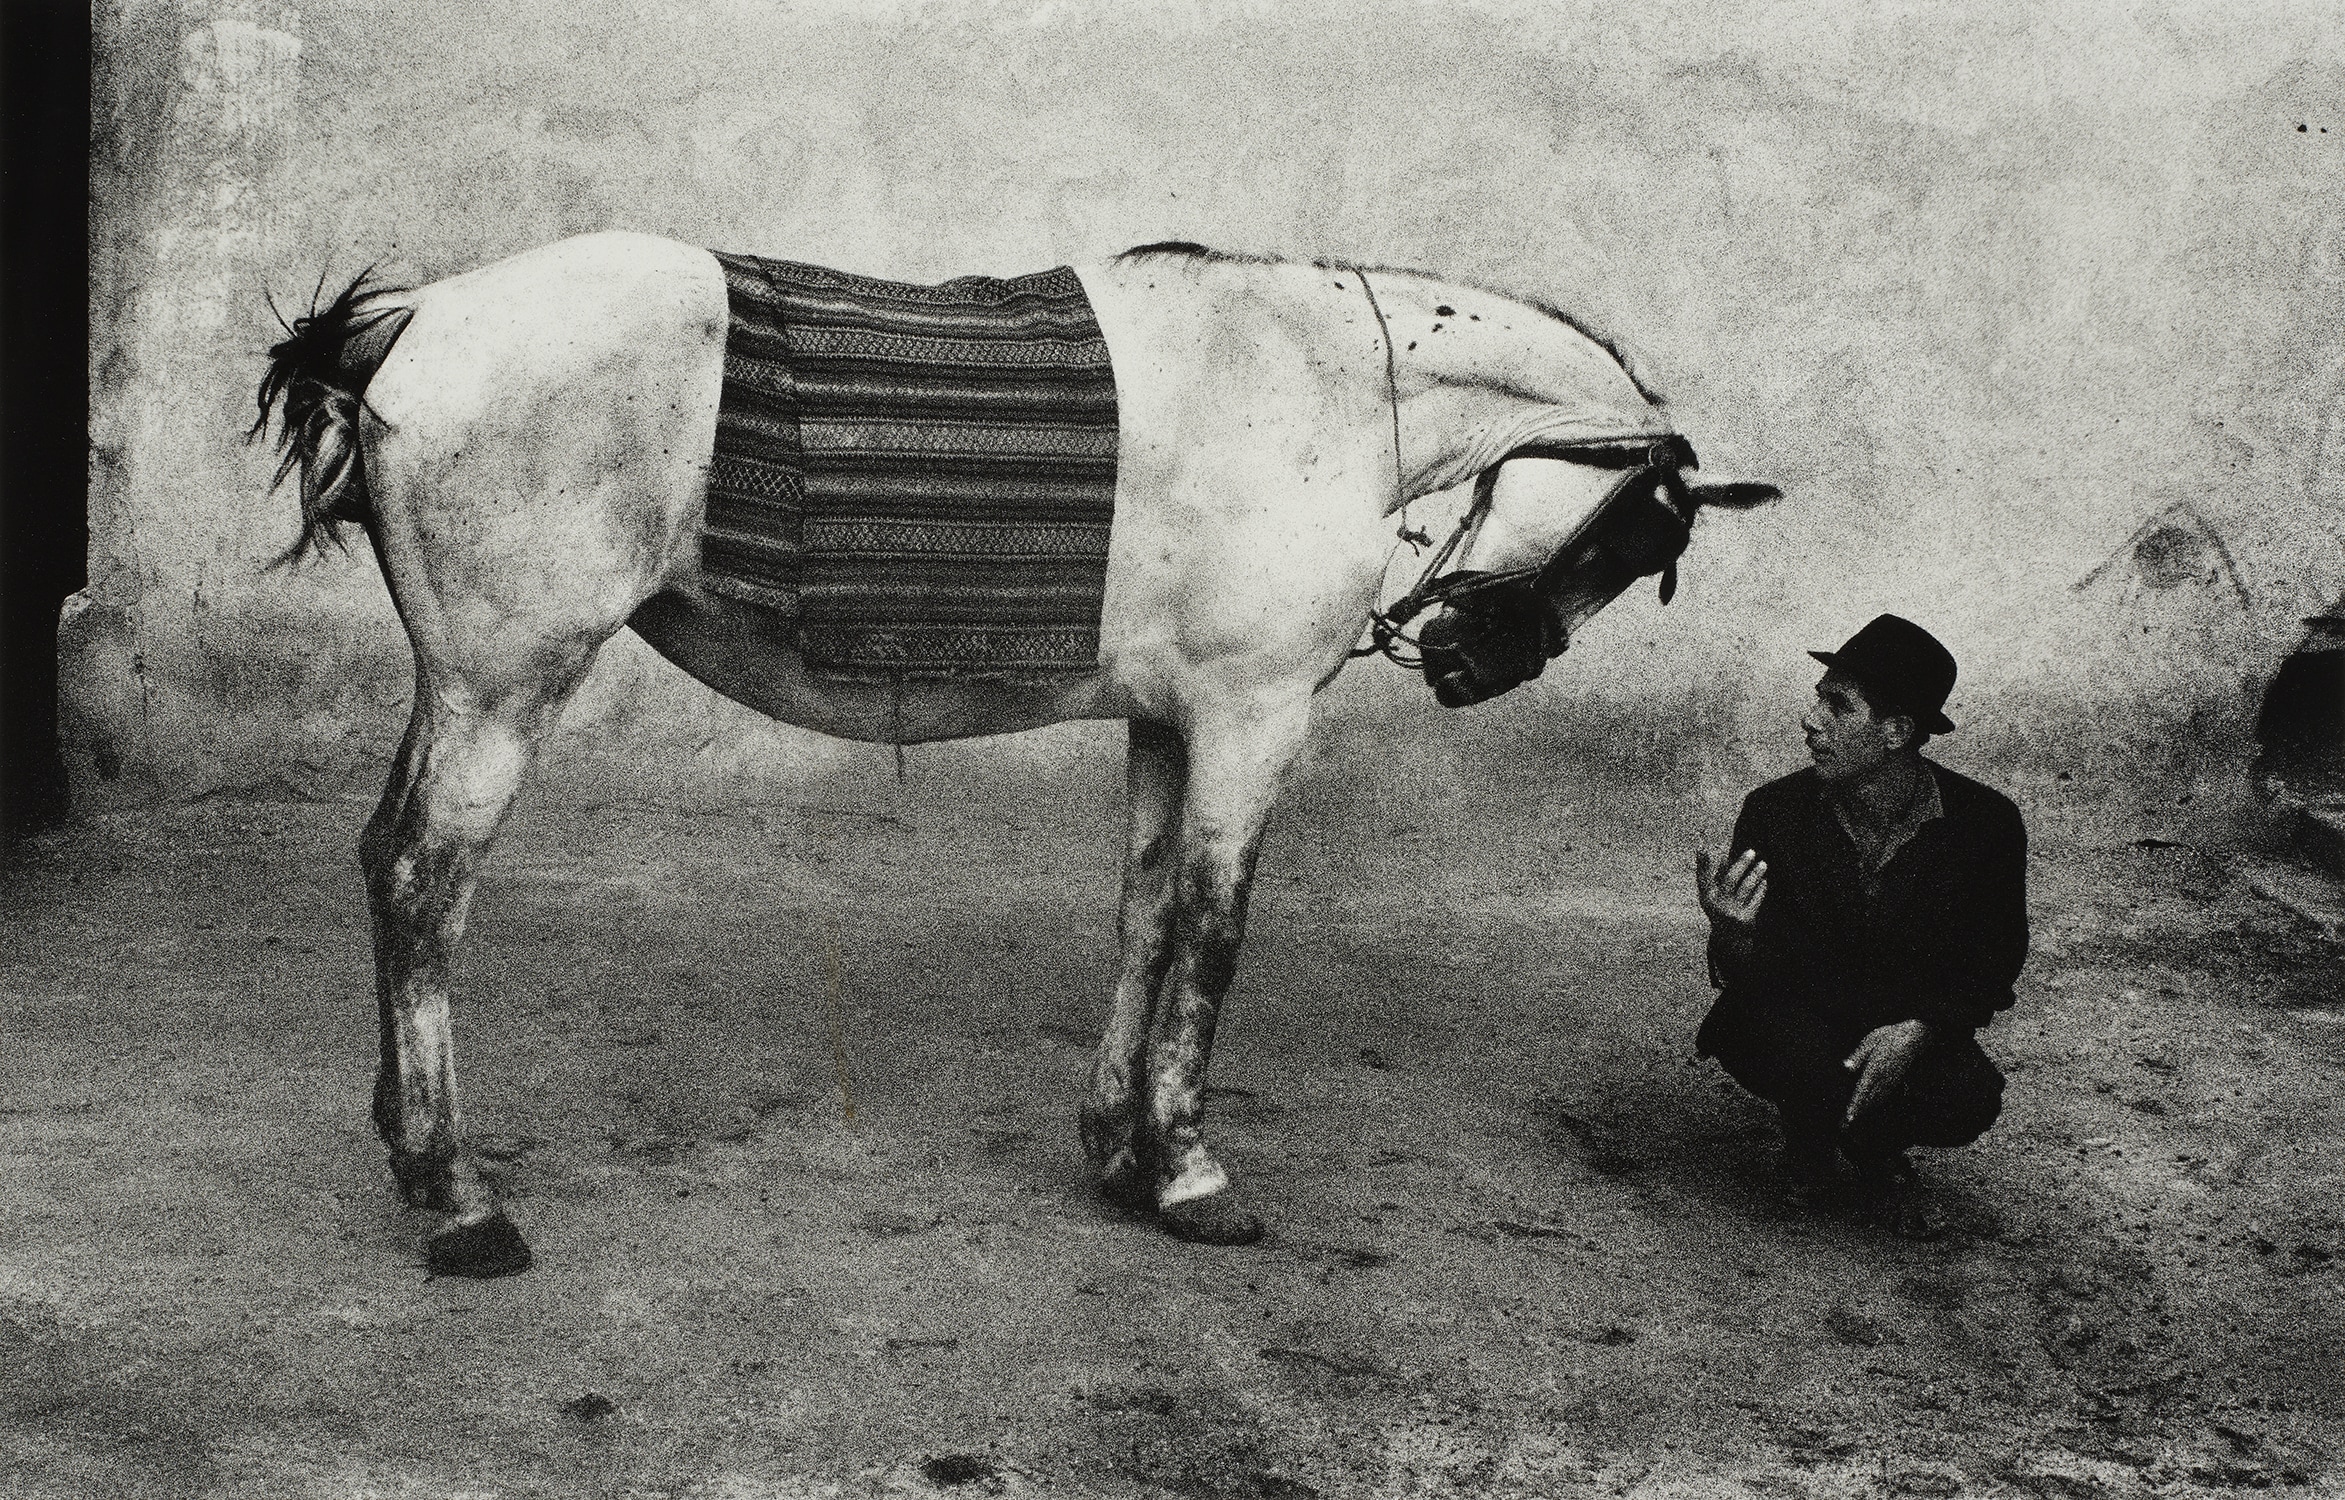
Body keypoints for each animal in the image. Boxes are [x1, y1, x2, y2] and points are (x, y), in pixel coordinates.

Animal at [251, 231, 1777, 1277]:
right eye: (1636, 540)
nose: (1472, 662)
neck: (1316, 389)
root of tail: (417, 321)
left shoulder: (1168, 721)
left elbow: (1145, 917)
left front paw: (1119, 1149)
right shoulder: (1250, 719)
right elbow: (1214, 935)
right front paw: (1191, 1173)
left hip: (456, 685)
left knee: (385, 860)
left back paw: (411, 1150)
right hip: (505, 688)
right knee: (425, 886)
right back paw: (459, 1195)